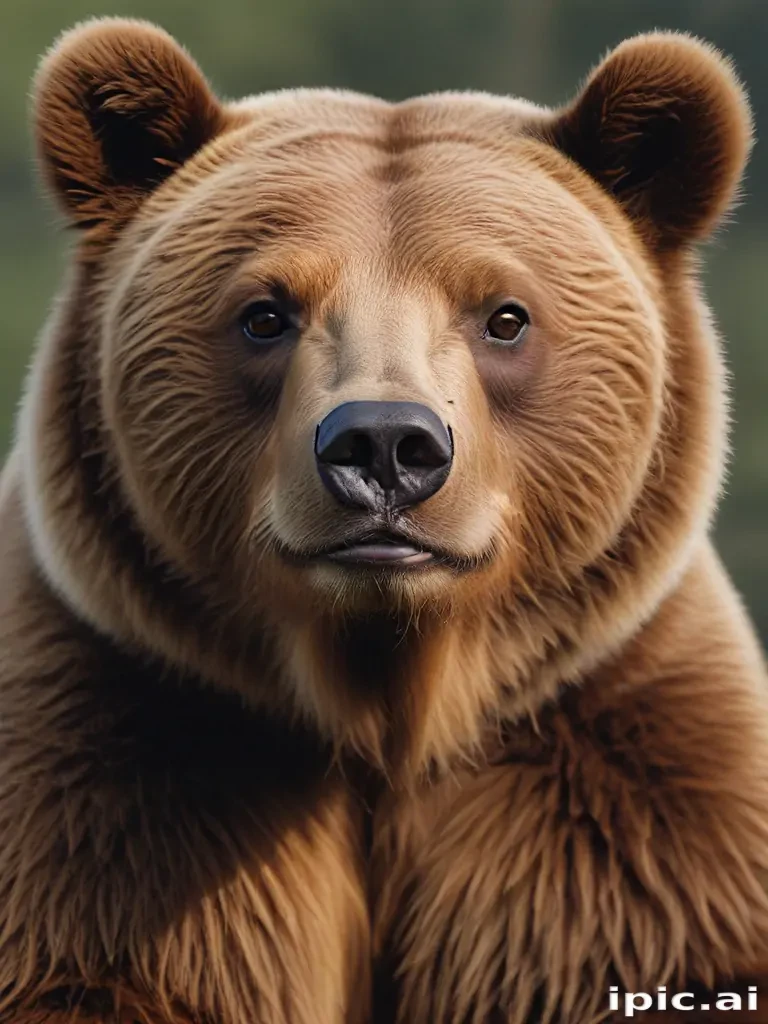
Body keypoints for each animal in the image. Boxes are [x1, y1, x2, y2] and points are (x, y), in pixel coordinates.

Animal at [0, 13, 767, 1023]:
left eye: (506, 315)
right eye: (265, 313)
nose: (385, 445)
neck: (389, 704)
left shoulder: (621, 807)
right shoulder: (122, 771)